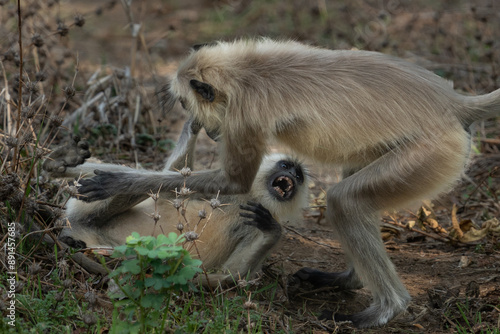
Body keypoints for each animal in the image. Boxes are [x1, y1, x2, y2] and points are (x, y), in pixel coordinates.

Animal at [43, 120, 308, 288]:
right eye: (285, 166)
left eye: (299, 175)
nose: (292, 174)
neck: (249, 198)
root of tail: (73, 224)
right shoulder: (221, 190)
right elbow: (174, 180)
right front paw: (195, 120)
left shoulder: (253, 221)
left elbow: (232, 275)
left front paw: (272, 229)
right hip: (82, 207)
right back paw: (57, 162)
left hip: (98, 239)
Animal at [77, 38, 500, 326]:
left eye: (184, 102)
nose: (203, 126)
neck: (243, 70)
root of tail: (455, 102)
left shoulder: (244, 113)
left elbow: (236, 183)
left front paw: (117, 182)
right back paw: (348, 281)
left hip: (433, 152)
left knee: (344, 200)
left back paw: (384, 310)